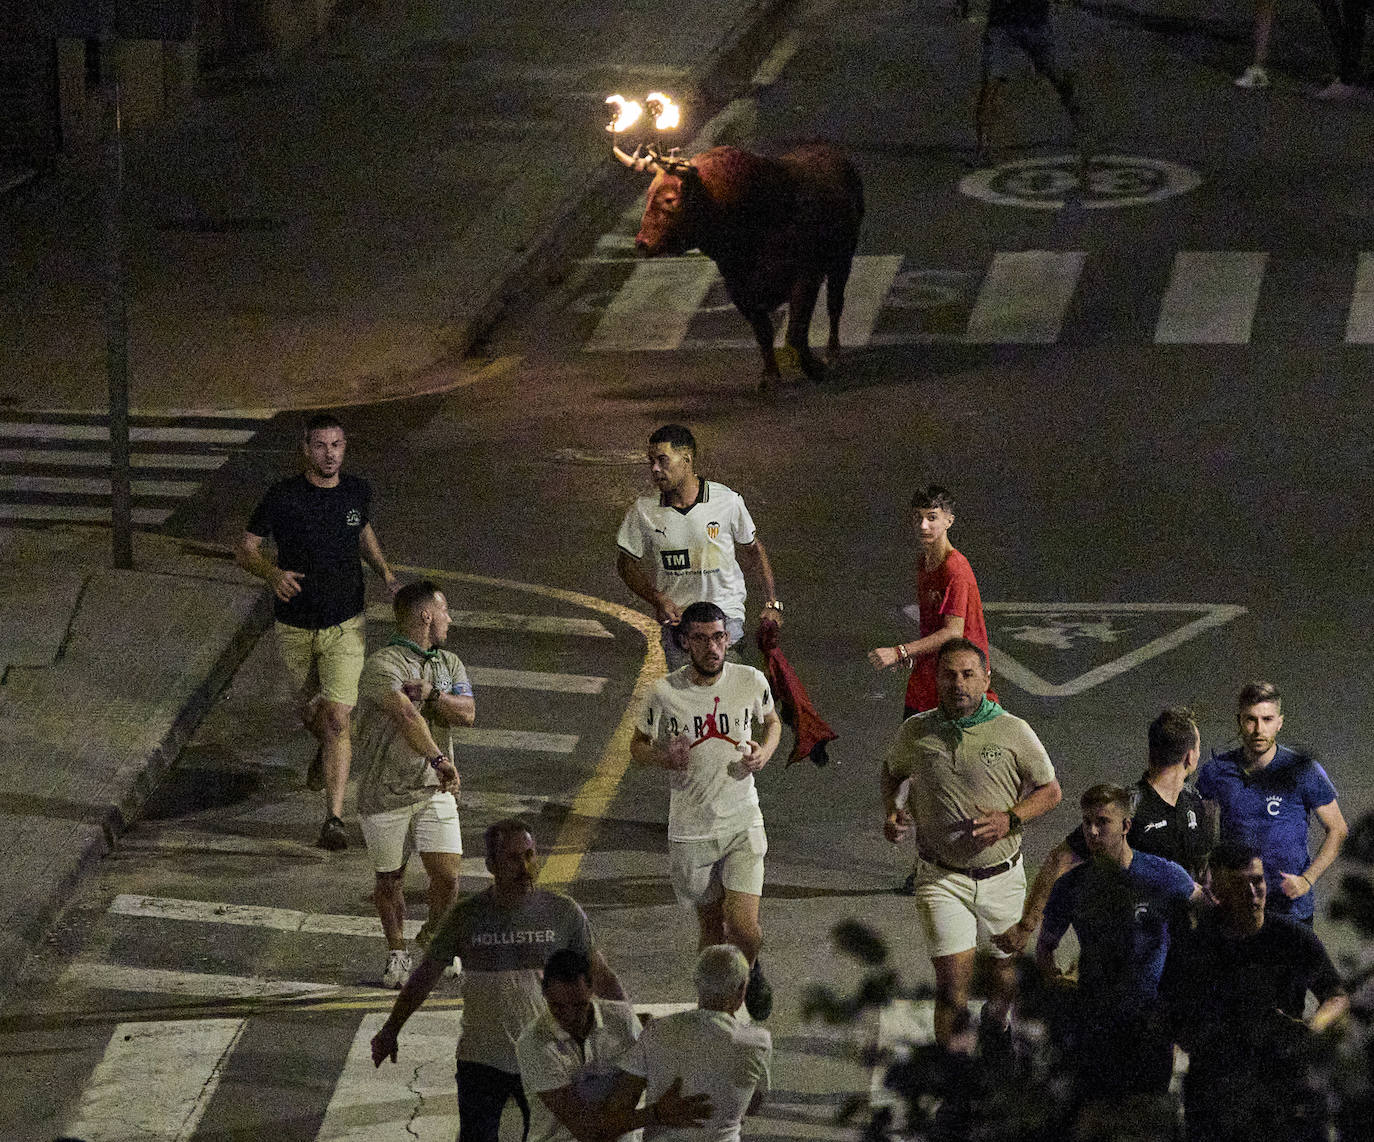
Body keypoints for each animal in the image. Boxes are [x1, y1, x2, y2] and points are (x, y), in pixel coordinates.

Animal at [618, 140, 862, 390]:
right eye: (648, 195)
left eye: (669, 199)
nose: (642, 243)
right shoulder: (738, 289)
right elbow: (763, 333)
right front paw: (770, 375)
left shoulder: (806, 277)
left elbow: (796, 331)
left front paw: (814, 368)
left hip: (843, 259)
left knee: (835, 304)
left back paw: (832, 353)